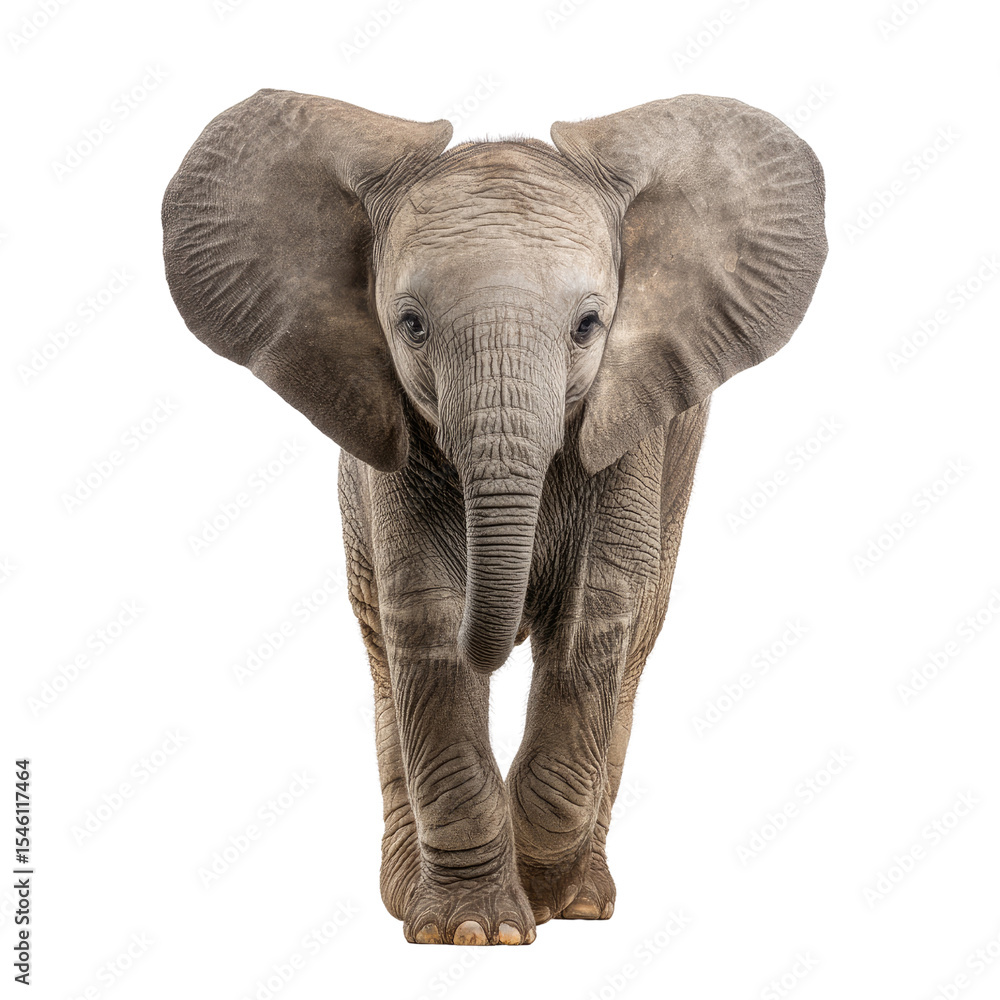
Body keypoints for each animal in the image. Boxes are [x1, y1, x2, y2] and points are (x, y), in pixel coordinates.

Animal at [162, 89, 826, 946]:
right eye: (411, 324)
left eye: (588, 325)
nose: (501, 638)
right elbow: (427, 619)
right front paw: (475, 930)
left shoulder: (629, 426)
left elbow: (595, 617)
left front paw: (538, 901)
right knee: (383, 653)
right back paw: (408, 893)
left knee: (636, 642)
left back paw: (584, 901)